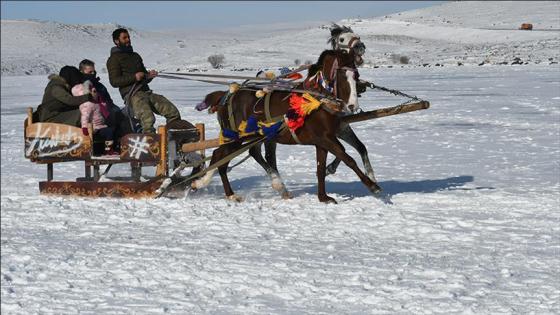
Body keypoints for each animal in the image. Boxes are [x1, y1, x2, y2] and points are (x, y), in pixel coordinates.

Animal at [192, 48, 380, 202]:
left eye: (356, 76)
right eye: (341, 76)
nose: (352, 106)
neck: (318, 100)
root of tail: (226, 96)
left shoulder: (324, 140)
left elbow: (321, 168)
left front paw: (323, 197)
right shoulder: (325, 138)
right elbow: (348, 158)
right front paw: (372, 186)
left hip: (256, 136)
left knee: (243, 155)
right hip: (235, 137)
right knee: (219, 156)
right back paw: (217, 189)